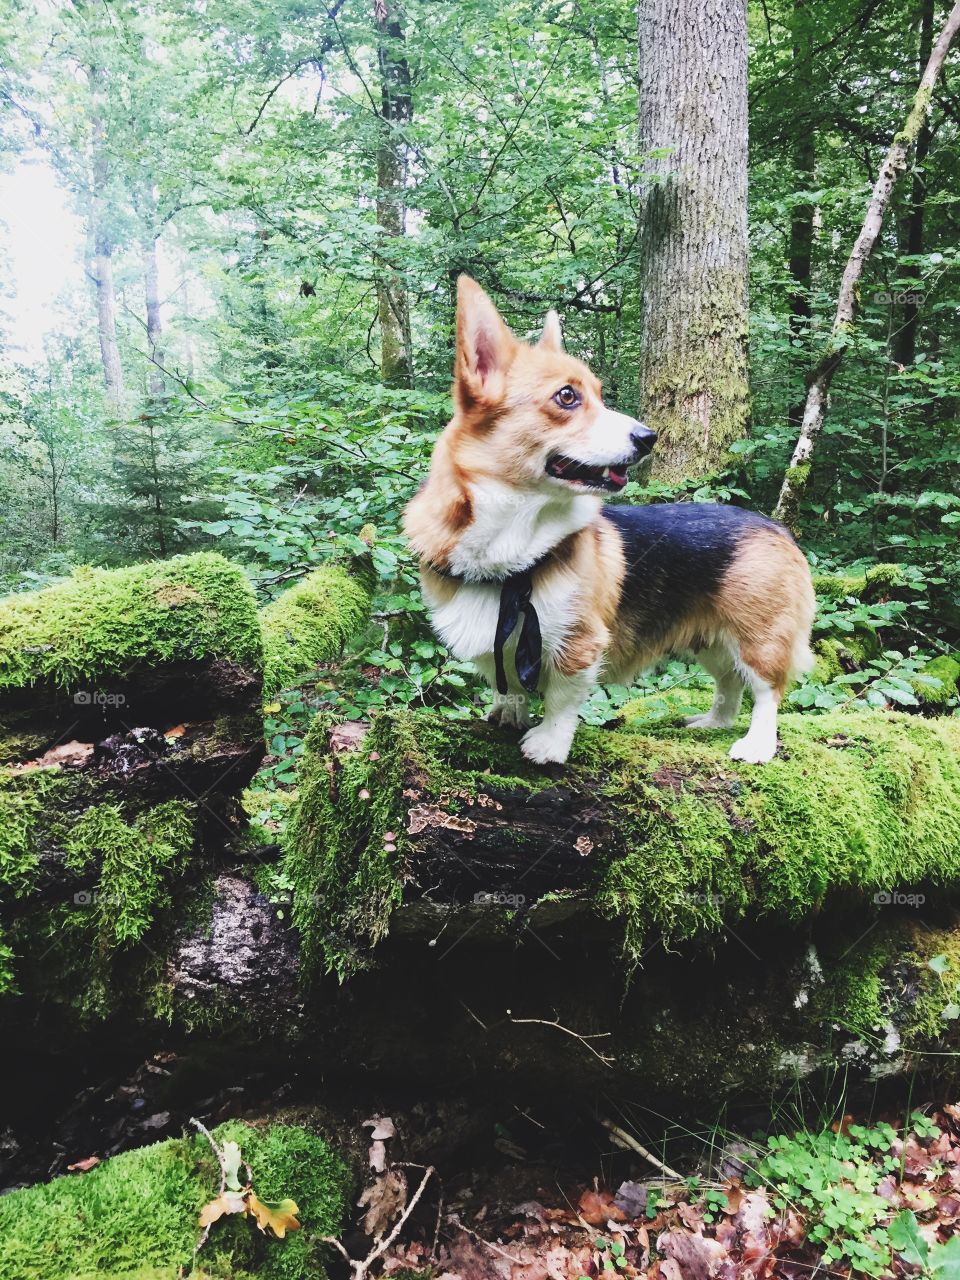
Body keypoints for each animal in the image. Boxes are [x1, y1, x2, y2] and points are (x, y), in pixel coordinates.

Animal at [401, 275, 814, 762]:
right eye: (567, 396)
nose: (650, 437)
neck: (512, 536)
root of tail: (775, 527)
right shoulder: (496, 643)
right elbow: (508, 683)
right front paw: (509, 713)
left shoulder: (578, 641)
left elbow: (562, 697)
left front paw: (548, 743)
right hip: (709, 639)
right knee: (729, 682)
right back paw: (713, 722)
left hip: (758, 635)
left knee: (768, 690)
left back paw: (756, 745)